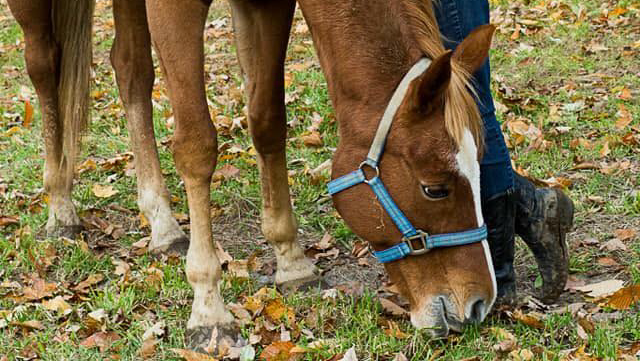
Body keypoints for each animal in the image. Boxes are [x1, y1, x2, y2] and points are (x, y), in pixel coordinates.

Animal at [7, 0, 500, 340]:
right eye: (435, 189)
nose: (478, 304)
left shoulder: (268, 5)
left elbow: (266, 120)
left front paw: (291, 260)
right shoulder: (175, 7)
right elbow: (197, 146)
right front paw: (208, 308)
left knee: (131, 69)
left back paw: (162, 223)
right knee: (44, 63)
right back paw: (60, 206)